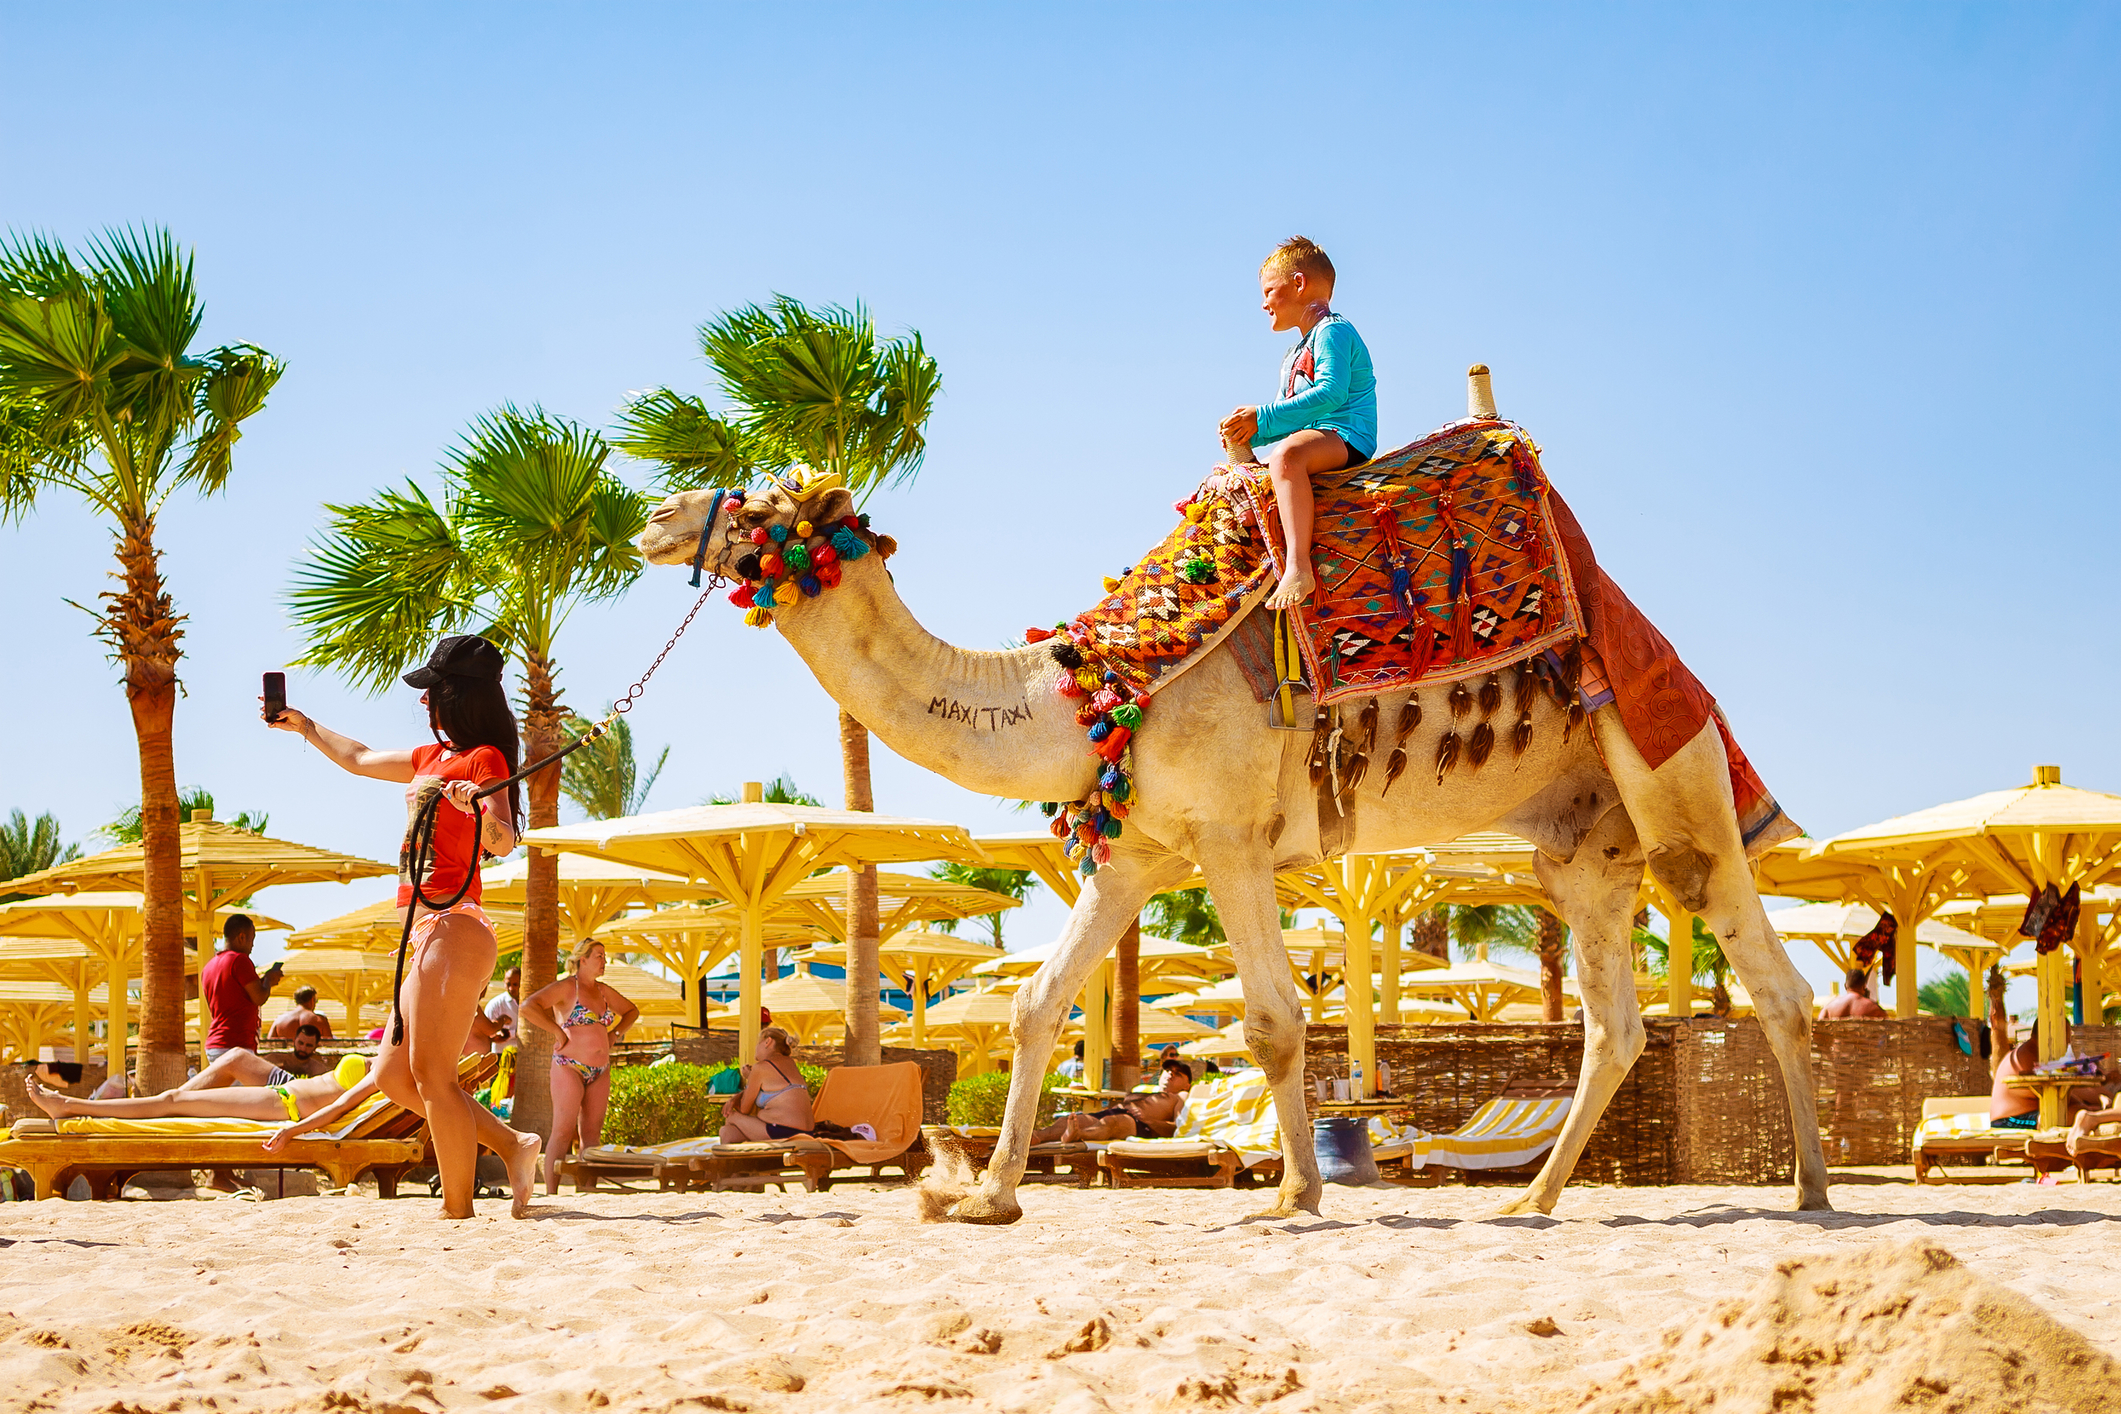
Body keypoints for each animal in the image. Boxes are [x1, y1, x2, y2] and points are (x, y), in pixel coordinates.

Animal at [635, 372, 1830, 1223]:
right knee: (1617, 1026)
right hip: (1581, 846)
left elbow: (1270, 1019)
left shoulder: (1230, 833)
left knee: (1770, 980)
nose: (654, 514)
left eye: (763, 502)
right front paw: (987, 1195)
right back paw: (1531, 1200)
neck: (1094, 690)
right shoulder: (1139, 854)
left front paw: (1294, 1193)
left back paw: (1810, 1190)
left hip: (1673, 777)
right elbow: (1035, 1007)